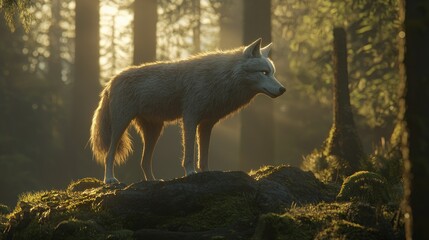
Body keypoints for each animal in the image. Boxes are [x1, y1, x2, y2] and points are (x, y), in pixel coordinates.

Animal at [90, 38, 284, 183]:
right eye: (264, 72)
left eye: (273, 73)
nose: (283, 89)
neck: (222, 77)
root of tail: (111, 80)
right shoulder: (190, 118)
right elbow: (190, 152)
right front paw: (190, 173)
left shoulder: (206, 125)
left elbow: (203, 156)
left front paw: (207, 173)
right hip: (120, 126)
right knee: (109, 155)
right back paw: (110, 180)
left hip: (154, 131)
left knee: (144, 162)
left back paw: (153, 181)